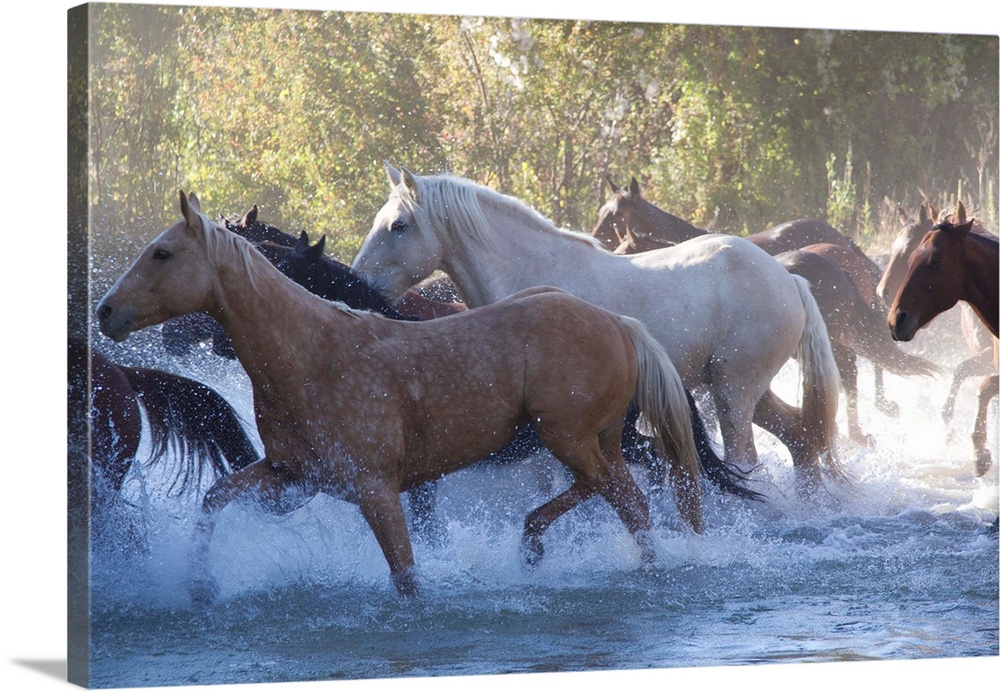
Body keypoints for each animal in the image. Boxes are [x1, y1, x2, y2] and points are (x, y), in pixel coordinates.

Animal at [95, 191, 704, 600]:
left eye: (163, 254)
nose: (105, 312)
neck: (310, 351)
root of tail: (619, 323)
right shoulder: (293, 479)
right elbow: (214, 498)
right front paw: (200, 586)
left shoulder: (377, 488)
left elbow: (407, 576)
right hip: (596, 442)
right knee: (627, 501)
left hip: (570, 438)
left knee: (619, 493)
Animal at [888, 218, 996, 476]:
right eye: (910, 258)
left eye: (936, 259)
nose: (896, 320)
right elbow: (981, 386)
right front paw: (979, 454)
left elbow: (983, 385)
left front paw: (980, 453)